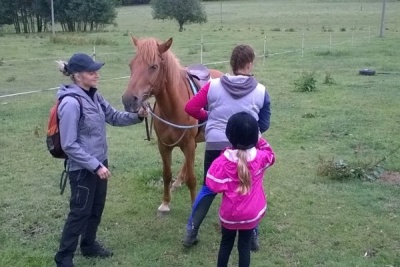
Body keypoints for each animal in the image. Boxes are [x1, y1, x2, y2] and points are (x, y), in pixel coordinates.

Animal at [120, 36, 223, 215]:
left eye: (153, 66)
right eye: (131, 65)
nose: (128, 100)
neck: (173, 108)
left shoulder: (188, 144)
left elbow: (192, 178)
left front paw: (194, 205)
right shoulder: (164, 146)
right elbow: (166, 174)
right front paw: (165, 203)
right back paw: (178, 181)